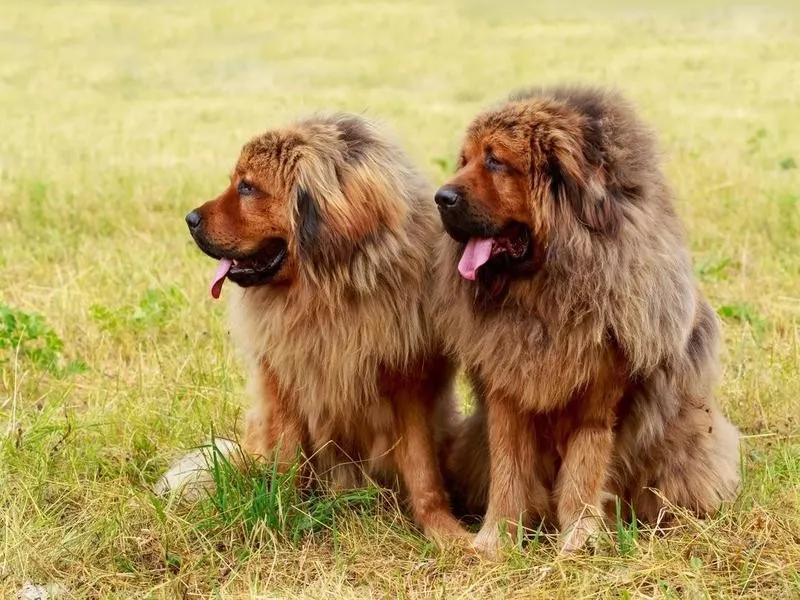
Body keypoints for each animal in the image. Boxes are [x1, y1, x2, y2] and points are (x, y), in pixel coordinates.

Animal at [161, 112, 468, 544]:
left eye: (247, 187)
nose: (189, 219)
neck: (329, 293)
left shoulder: (411, 387)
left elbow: (424, 473)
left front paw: (446, 532)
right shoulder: (284, 384)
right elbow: (288, 462)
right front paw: (279, 515)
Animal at [434, 86, 740, 556]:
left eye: (495, 161)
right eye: (464, 160)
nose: (440, 198)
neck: (546, 296)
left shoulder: (601, 397)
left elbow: (584, 471)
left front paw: (578, 540)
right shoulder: (507, 388)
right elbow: (508, 470)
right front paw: (496, 540)